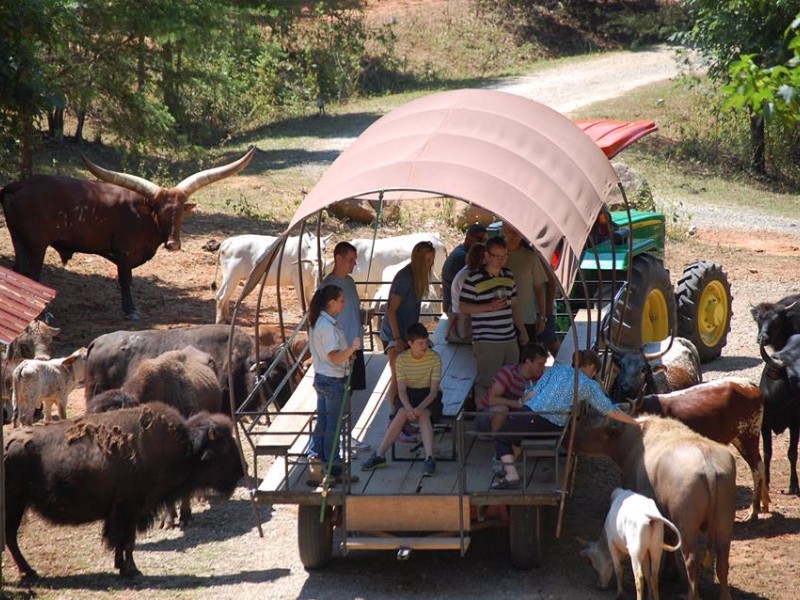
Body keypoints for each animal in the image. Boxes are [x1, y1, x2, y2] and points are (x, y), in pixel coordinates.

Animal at [3, 400, 242, 580]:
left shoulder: (126, 513)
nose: (241, 471)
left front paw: (121, 566)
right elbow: (127, 541)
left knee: (10, 538)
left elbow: (123, 542)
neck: (182, 448)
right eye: (224, 448)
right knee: (11, 537)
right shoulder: (129, 510)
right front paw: (133, 570)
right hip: (14, 505)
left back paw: (29, 572)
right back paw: (29, 572)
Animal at [576, 414, 736, 600]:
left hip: (687, 524)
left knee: (691, 561)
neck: (633, 441)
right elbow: (670, 539)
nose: (573, 441)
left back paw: (691, 595)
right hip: (724, 521)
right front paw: (671, 572)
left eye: (590, 425)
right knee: (723, 561)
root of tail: (709, 467)